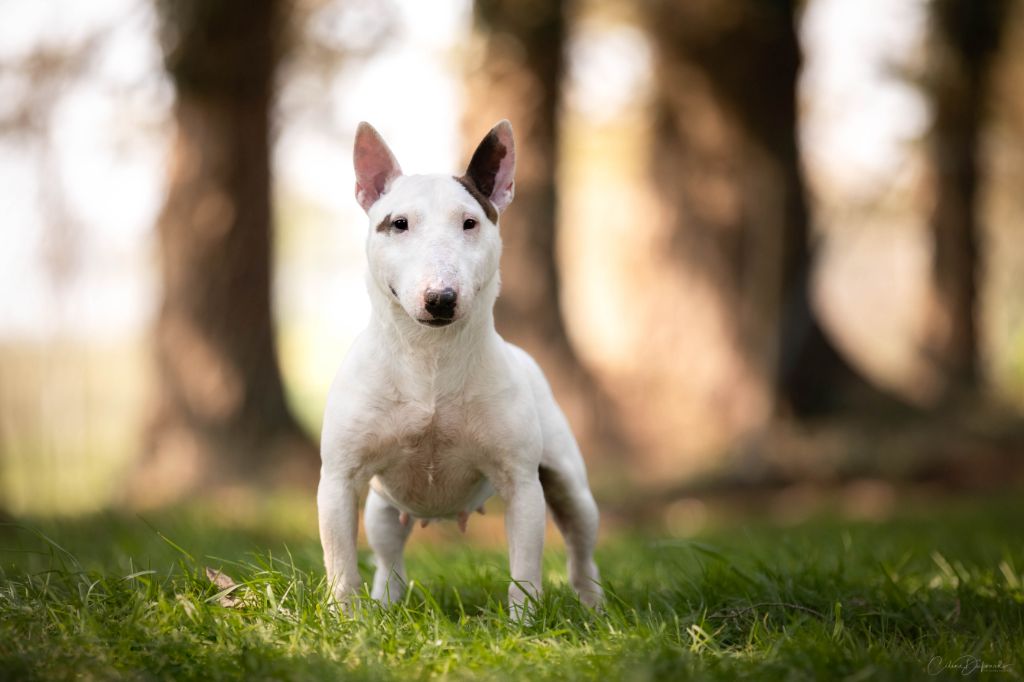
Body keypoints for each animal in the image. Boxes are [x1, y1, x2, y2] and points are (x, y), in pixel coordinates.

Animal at [319, 119, 602, 614]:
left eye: (470, 222)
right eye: (398, 223)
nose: (441, 299)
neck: (430, 357)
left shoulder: (522, 482)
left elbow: (525, 566)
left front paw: (524, 621)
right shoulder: (338, 478)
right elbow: (341, 563)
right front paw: (342, 618)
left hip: (570, 484)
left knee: (580, 545)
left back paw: (593, 605)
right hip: (382, 506)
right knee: (388, 551)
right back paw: (385, 602)